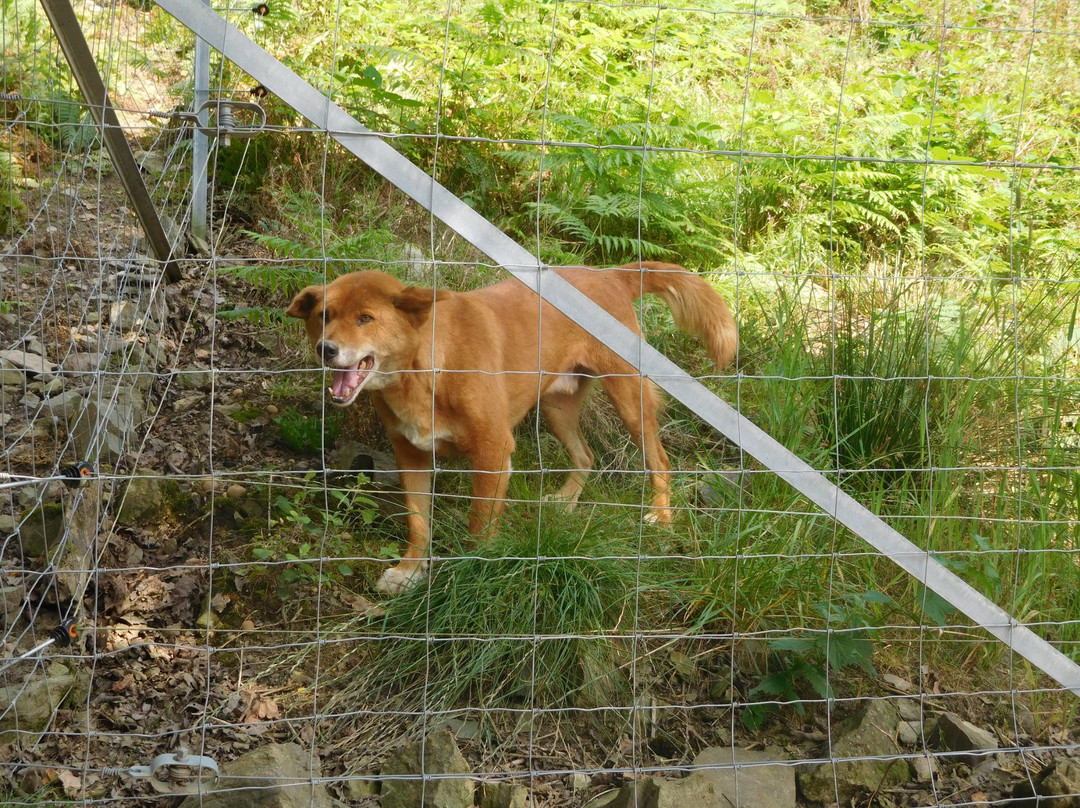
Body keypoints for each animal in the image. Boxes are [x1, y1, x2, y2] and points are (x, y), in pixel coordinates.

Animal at [289, 262, 734, 591]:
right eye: (324, 316)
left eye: (366, 318)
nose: (326, 349)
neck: (425, 368)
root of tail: (608, 273)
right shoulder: (410, 455)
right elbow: (419, 524)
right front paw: (410, 572)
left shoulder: (492, 452)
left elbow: (479, 525)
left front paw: (474, 574)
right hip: (556, 408)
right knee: (586, 454)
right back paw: (566, 502)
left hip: (629, 400)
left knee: (660, 460)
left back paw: (662, 516)